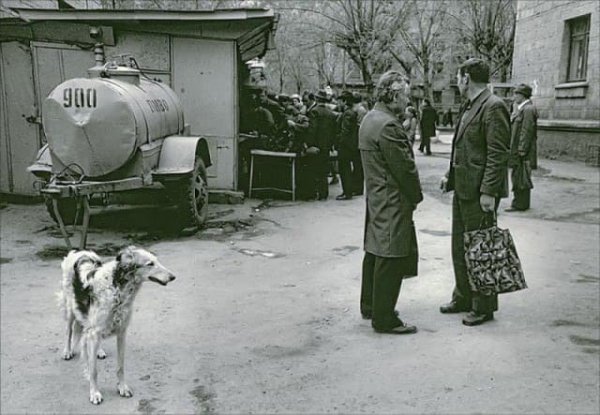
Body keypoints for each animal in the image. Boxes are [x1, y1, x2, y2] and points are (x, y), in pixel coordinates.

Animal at [59, 245, 176, 404]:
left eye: (157, 261)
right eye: (150, 264)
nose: (173, 277)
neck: (117, 287)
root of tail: (80, 251)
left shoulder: (121, 331)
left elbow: (120, 366)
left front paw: (122, 388)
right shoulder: (94, 331)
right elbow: (93, 370)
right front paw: (94, 393)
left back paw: (99, 351)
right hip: (71, 309)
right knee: (68, 331)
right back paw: (67, 351)